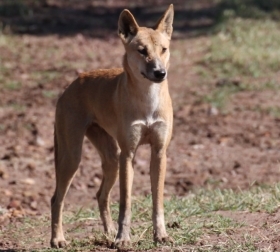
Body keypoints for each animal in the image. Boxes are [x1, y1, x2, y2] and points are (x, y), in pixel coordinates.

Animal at [50, 4, 173, 249]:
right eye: (142, 51)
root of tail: (71, 85)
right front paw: (123, 239)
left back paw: (108, 234)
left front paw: (160, 235)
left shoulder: (159, 152)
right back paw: (58, 239)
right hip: (73, 158)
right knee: (57, 199)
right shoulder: (128, 154)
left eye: (163, 49)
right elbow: (125, 203)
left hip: (111, 159)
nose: (160, 73)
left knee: (101, 196)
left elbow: (157, 202)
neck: (148, 101)